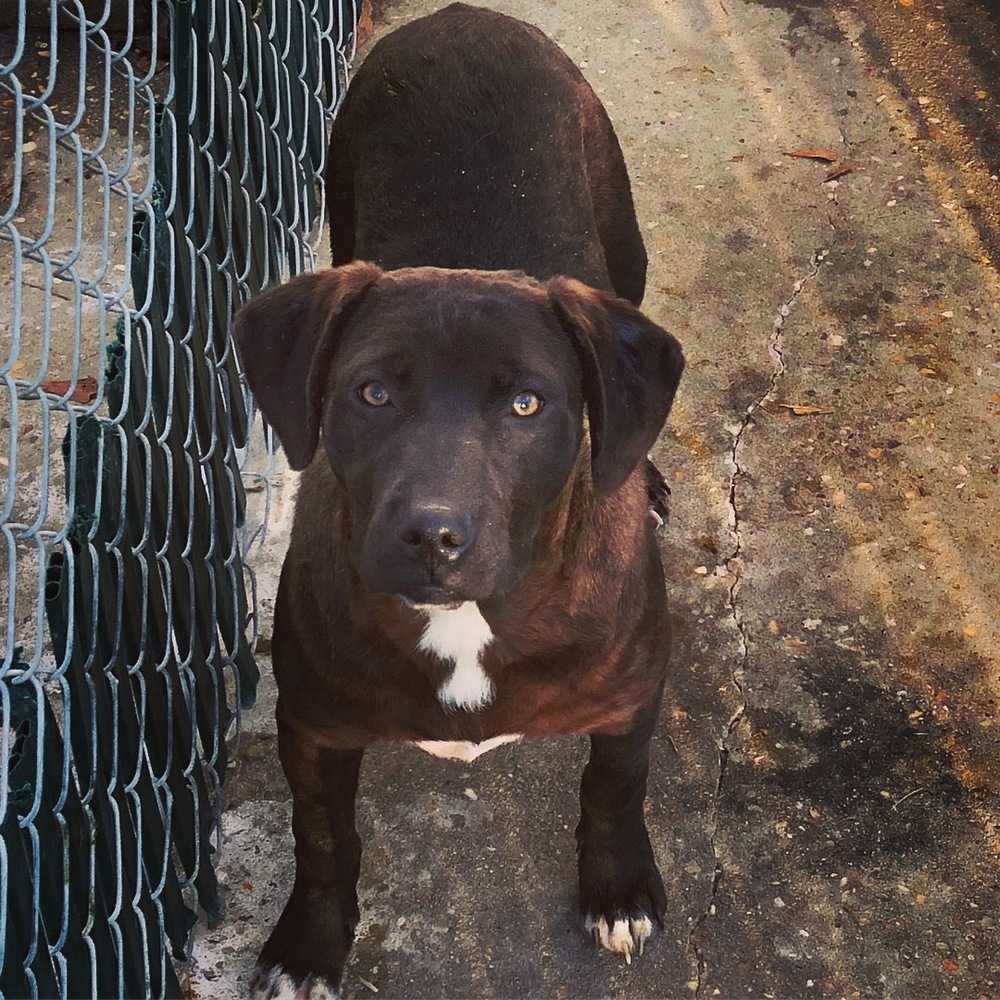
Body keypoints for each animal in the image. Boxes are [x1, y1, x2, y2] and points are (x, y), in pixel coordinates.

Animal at [233, 3, 684, 996]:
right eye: (370, 393)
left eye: (527, 404)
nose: (432, 535)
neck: (469, 623)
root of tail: (460, 15)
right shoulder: (313, 729)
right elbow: (323, 842)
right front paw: (311, 944)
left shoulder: (631, 698)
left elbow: (615, 788)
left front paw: (617, 888)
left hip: (622, 241)